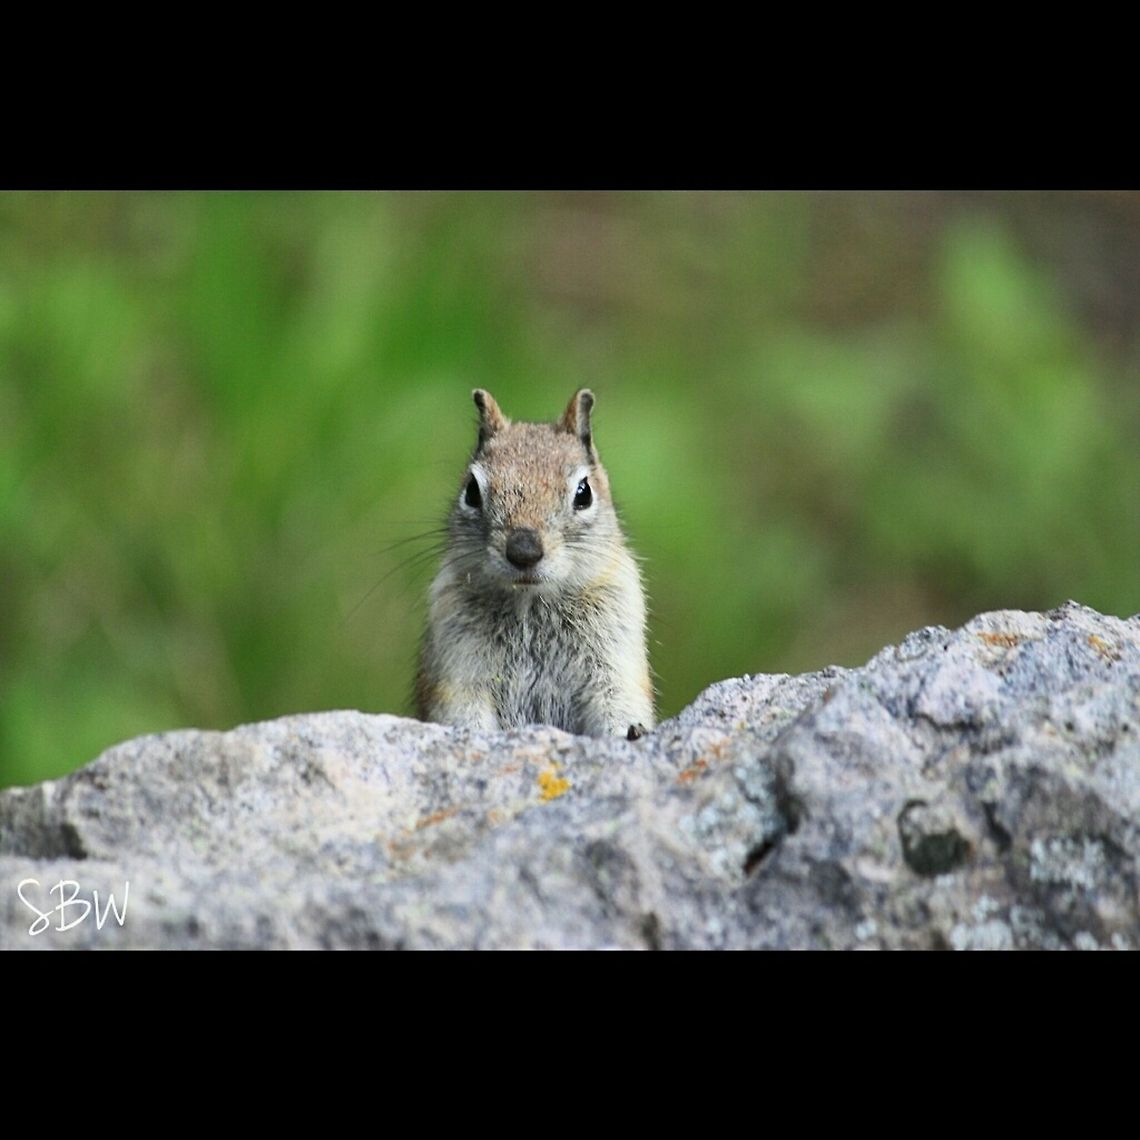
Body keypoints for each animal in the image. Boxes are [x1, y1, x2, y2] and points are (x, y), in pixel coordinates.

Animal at [415, 388, 655, 739]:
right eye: (471, 490)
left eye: (584, 492)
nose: (524, 551)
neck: (530, 602)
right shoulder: (458, 671)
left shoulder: (614, 664)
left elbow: (616, 706)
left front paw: (632, 732)